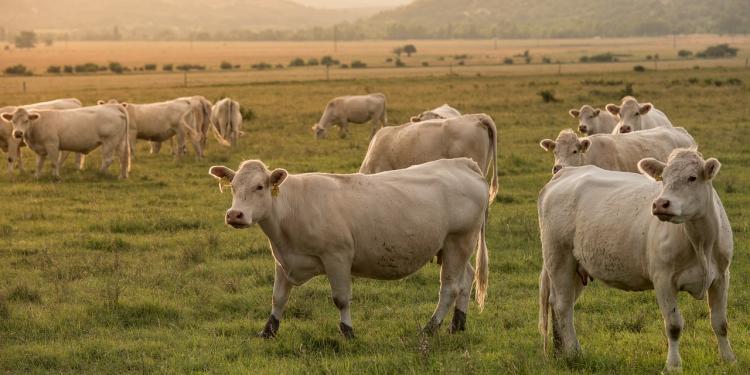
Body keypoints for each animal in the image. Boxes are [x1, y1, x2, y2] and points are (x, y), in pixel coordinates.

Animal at [212, 157, 490, 340]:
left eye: (259, 187)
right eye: (233, 187)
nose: (234, 214)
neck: (292, 207)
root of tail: (462, 163)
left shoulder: (337, 257)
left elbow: (341, 299)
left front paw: (347, 331)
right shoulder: (284, 260)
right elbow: (278, 298)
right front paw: (268, 330)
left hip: (458, 241)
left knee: (450, 288)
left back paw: (430, 328)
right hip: (456, 247)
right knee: (466, 280)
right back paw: (457, 324)